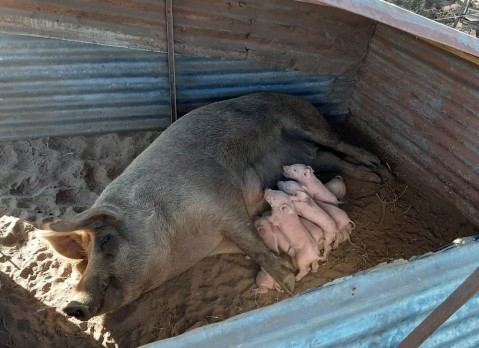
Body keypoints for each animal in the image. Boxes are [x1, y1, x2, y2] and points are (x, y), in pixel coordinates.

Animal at [40, 92, 378, 320]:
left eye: (106, 240)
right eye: (84, 258)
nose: (72, 306)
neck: (185, 244)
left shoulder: (220, 201)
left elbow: (250, 240)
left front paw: (289, 282)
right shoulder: (221, 239)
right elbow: (251, 243)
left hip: (306, 121)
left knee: (339, 143)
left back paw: (377, 166)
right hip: (312, 156)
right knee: (334, 159)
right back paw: (373, 177)